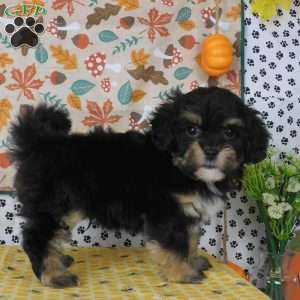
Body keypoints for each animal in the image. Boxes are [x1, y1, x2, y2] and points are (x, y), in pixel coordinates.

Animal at [8, 87, 270, 288]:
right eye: (192, 130)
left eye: (230, 132)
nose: (212, 150)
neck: (179, 166)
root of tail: (41, 143)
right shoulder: (168, 212)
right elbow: (175, 244)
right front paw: (182, 273)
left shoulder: (188, 213)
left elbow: (190, 239)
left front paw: (193, 261)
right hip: (56, 205)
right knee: (37, 238)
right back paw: (54, 276)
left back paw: (59, 262)